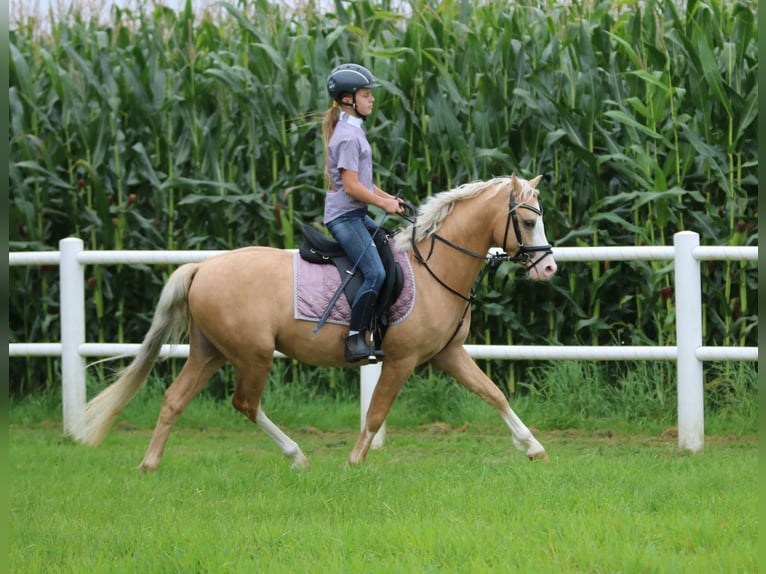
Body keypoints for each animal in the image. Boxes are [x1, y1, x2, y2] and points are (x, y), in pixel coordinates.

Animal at [68, 173, 558, 470]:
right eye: (526, 221)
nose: (549, 268)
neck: (435, 268)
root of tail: (203, 268)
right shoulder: (402, 359)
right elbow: (376, 413)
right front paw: (355, 461)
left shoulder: (447, 354)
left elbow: (493, 394)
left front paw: (534, 447)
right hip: (252, 354)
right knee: (244, 403)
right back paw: (297, 455)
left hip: (211, 352)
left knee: (174, 400)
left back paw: (150, 464)